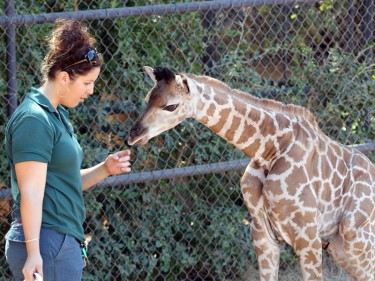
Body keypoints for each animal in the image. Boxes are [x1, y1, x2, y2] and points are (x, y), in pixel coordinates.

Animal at [128, 66, 374, 280]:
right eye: (147, 99)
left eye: (171, 106)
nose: (133, 135)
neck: (268, 150)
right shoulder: (263, 235)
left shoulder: (308, 237)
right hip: (339, 247)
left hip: (353, 240)